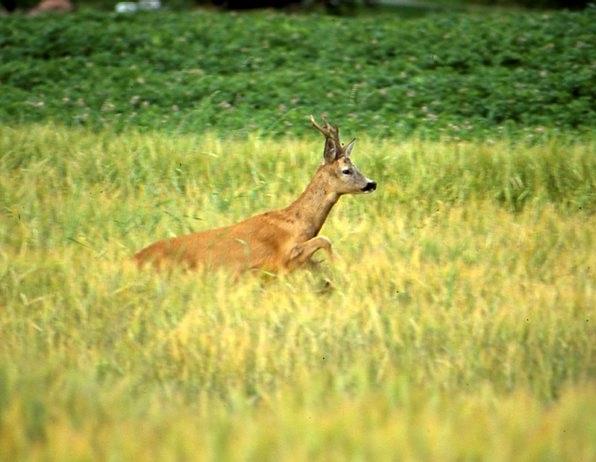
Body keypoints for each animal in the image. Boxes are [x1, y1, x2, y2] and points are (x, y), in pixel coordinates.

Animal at [134, 115, 378, 272]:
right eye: (346, 170)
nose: (371, 183)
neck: (296, 223)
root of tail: (132, 259)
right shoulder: (283, 256)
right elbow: (325, 240)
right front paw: (340, 264)